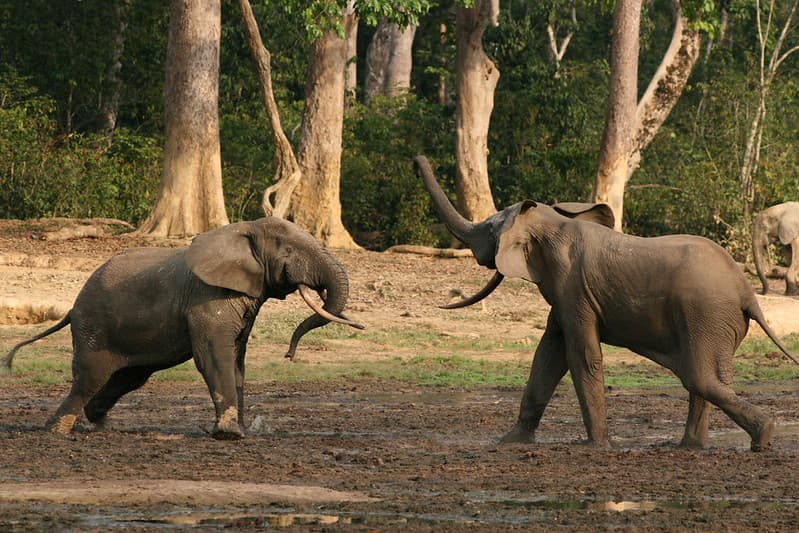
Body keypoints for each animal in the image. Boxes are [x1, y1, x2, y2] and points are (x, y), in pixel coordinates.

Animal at [2, 217, 364, 439]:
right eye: (288, 250)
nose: (289, 355)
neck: (243, 229)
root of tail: (72, 308)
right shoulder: (207, 297)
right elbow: (214, 357)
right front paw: (230, 434)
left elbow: (237, 360)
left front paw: (241, 431)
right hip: (94, 326)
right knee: (90, 377)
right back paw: (56, 431)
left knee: (128, 377)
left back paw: (101, 425)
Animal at [415, 155, 798, 451]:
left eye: (490, 230)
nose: (418, 162)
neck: (555, 222)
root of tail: (747, 292)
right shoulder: (564, 295)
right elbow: (548, 356)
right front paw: (509, 442)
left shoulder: (573, 288)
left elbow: (580, 355)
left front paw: (597, 446)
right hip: (715, 321)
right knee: (706, 379)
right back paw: (692, 447)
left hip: (705, 314)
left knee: (698, 377)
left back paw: (762, 438)